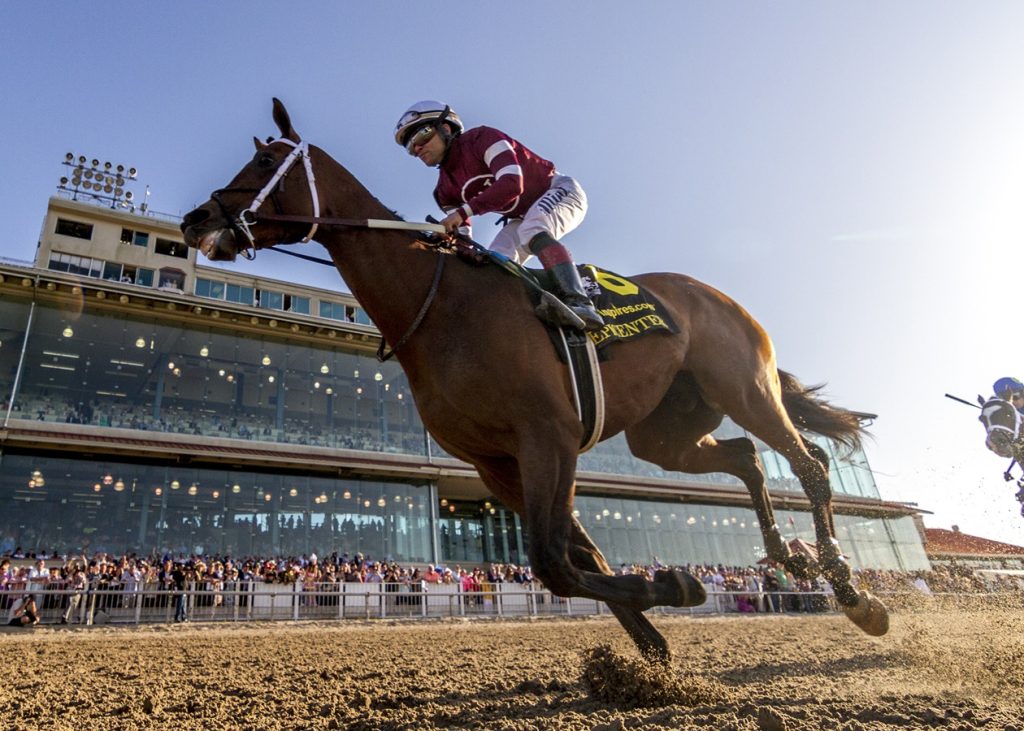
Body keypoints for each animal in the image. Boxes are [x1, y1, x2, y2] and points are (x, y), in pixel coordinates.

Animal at [182, 98, 888, 655]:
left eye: (261, 165)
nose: (196, 221)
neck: (441, 304)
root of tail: (715, 295)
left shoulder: (548, 435)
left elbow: (554, 560)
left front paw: (667, 588)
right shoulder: (498, 463)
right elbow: (577, 556)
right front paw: (653, 634)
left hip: (742, 386)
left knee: (809, 462)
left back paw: (851, 589)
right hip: (665, 433)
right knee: (744, 457)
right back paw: (789, 559)